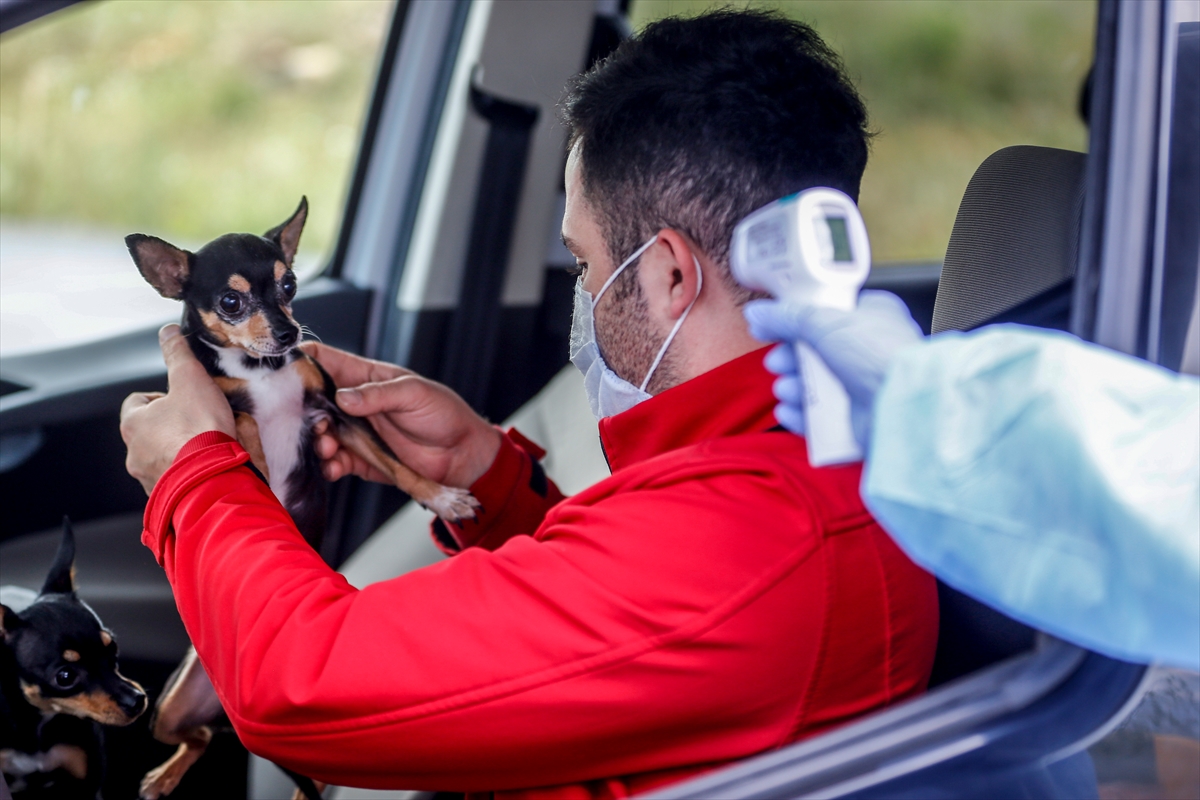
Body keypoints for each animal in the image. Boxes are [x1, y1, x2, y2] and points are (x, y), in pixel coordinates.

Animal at [124, 196, 475, 796]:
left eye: (288, 285)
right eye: (231, 301)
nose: (289, 333)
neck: (259, 370)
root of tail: (223, 696)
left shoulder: (338, 414)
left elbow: (401, 466)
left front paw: (444, 497)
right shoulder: (227, 403)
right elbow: (242, 421)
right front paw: (259, 463)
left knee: (245, 752)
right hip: (166, 710)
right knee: (198, 738)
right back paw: (163, 777)